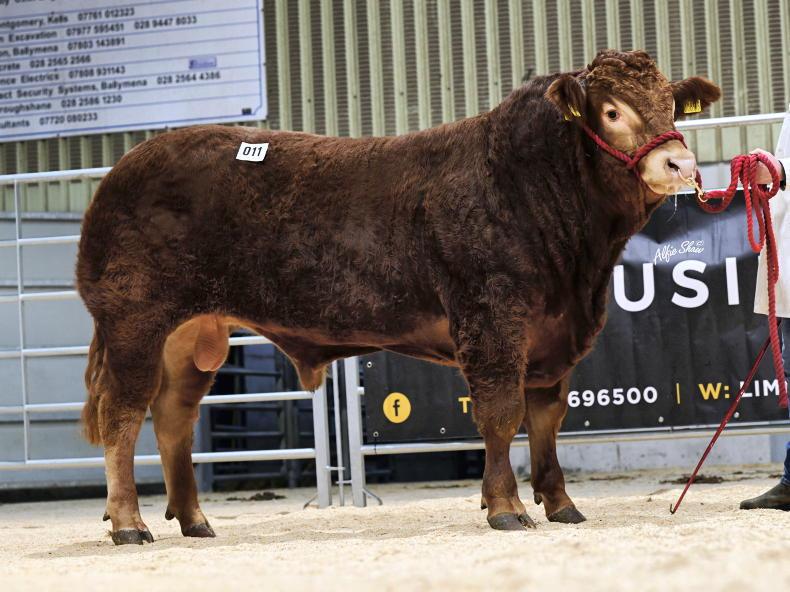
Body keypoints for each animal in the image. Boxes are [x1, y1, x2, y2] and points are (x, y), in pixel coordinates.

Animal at [76, 50, 721, 544]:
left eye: (670, 105)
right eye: (611, 111)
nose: (681, 163)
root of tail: (122, 170)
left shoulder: (553, 335)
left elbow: (546, 419)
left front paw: (561, 504)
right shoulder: (492, 321)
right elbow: (499, 415)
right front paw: (506, 508)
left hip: (192, 337)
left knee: (173, 419)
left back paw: (193, 520)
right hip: (135, 321)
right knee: (122, 416)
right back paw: (129, 523)